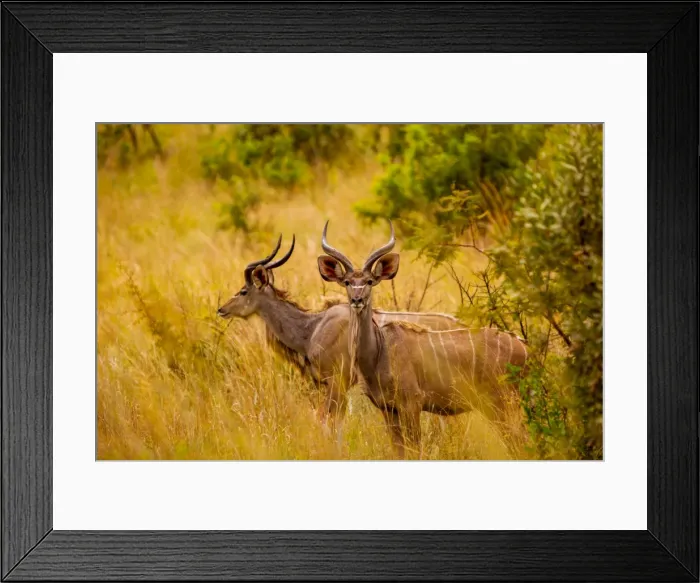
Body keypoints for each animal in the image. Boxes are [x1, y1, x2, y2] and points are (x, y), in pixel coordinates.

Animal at [317, 220, 529, 457]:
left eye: (370, 281)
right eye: (346, 282)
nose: (357, 300)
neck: (379, 352)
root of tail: (524, 348)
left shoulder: (412, 404)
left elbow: (414, 449)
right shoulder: (388, 409)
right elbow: (399, 451)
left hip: (503, 403)